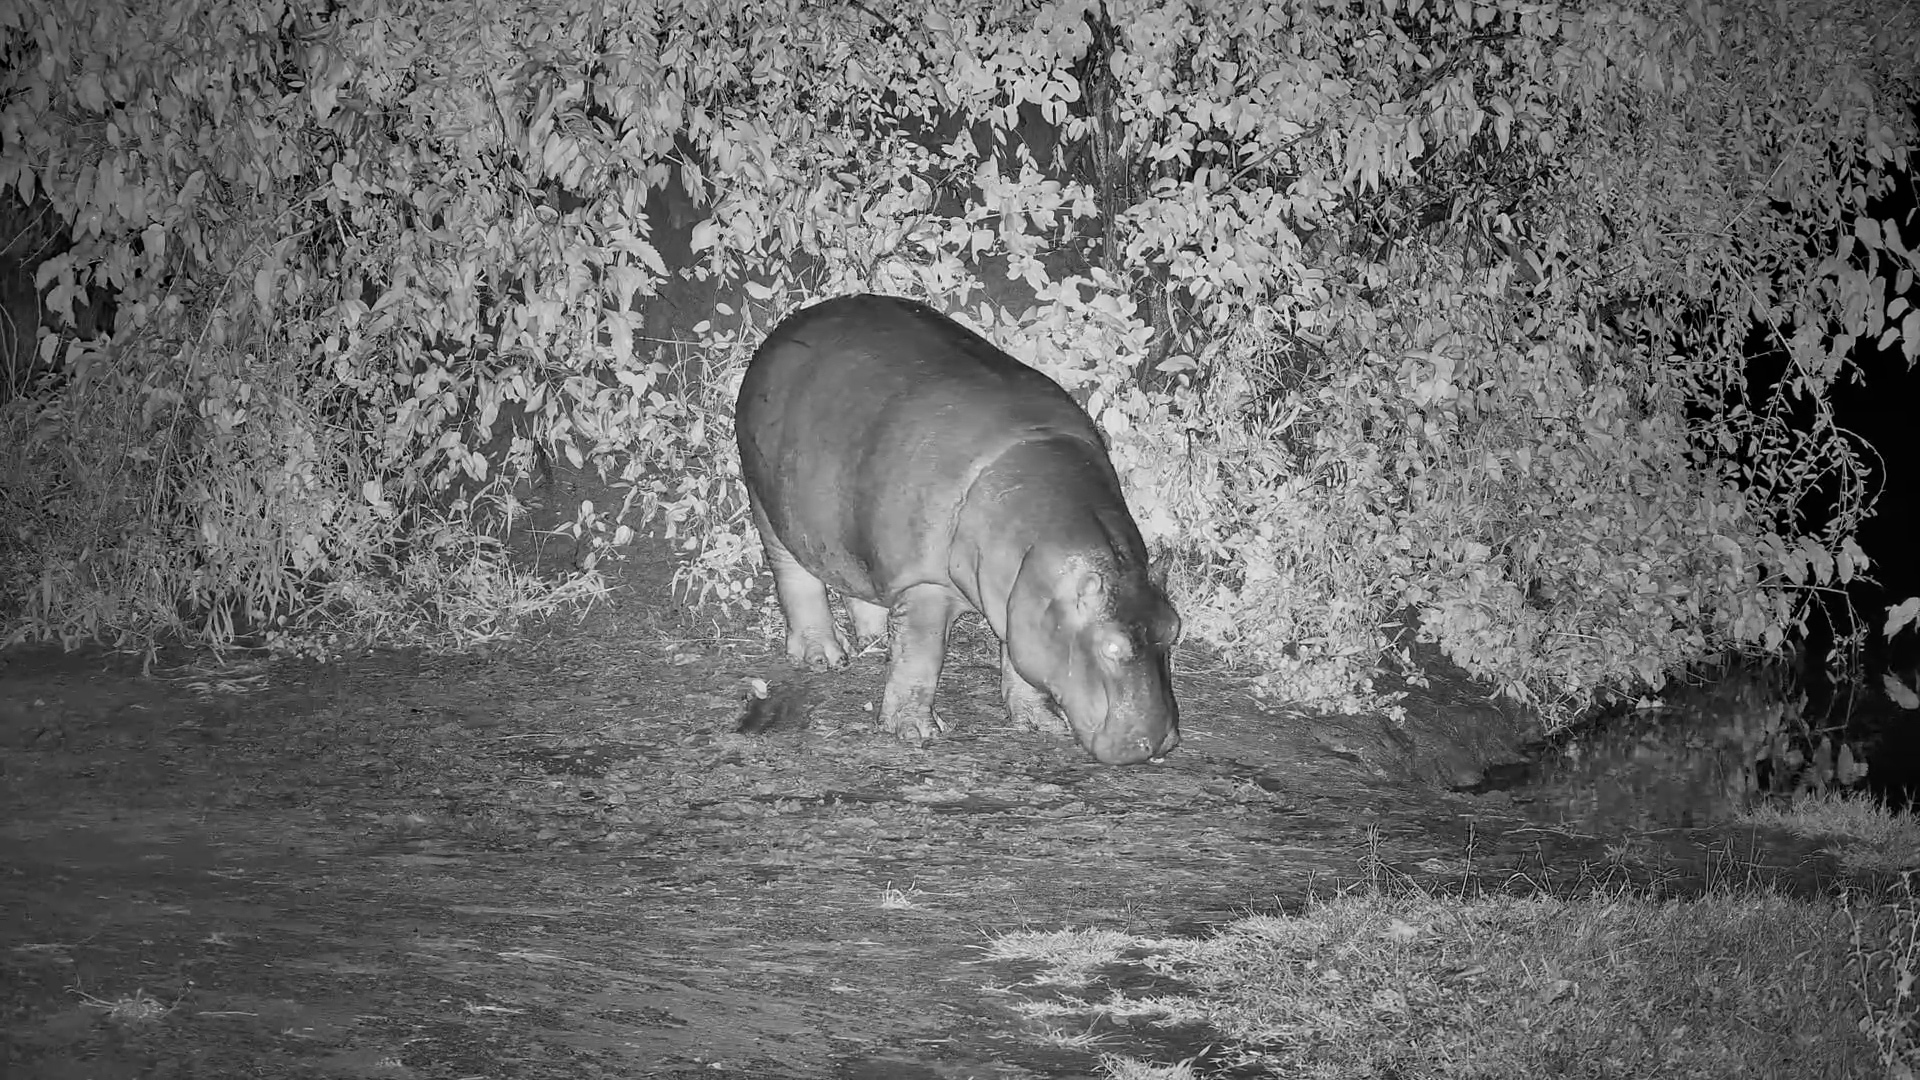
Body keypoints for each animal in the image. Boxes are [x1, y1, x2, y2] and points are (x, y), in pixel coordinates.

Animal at [734, 294, 1180, 764]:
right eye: (1111, 646)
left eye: (1174, 628)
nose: (1159, 742)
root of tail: (783, 330)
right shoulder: (927, 584)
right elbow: (920, 658)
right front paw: (915, 733)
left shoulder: (1018, 601)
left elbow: (1019, 663)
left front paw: (1040, 724)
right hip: (765, 500)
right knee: (794, 574)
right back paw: (825, 657)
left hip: (845, 527)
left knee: (852, 574)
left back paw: (875, 638)